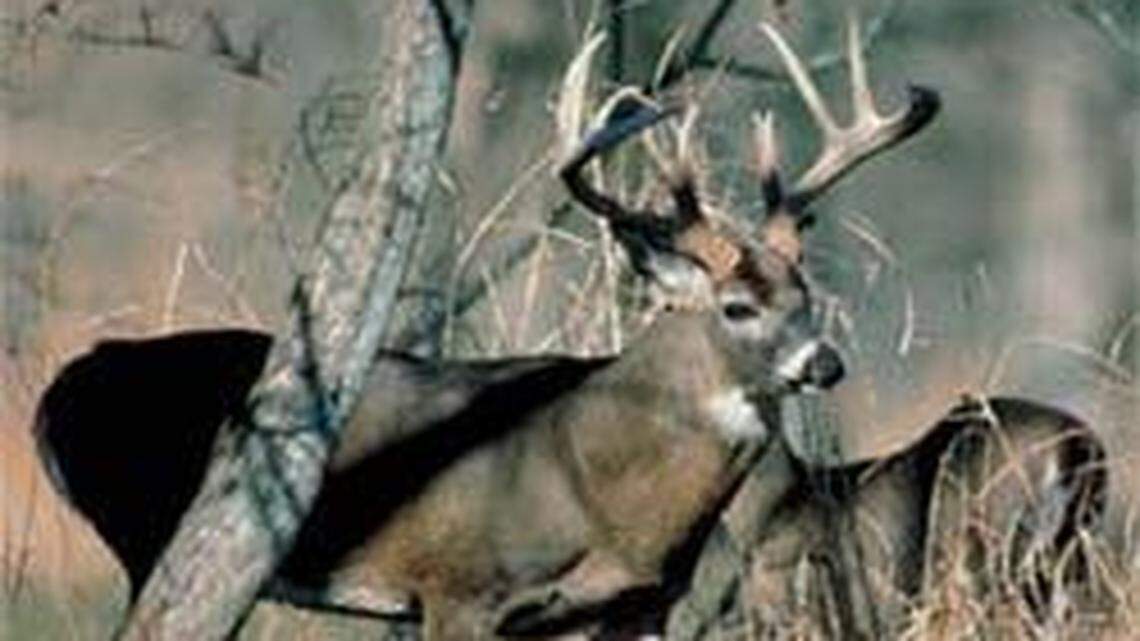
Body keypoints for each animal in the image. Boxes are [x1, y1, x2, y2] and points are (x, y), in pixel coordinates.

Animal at [33, 20, 943, 640]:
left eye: (805, 291)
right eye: (736, 306)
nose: (824, 363)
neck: (595, 481)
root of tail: (57, 392)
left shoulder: (637, 606)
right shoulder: (458, 586)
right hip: (147, 529)